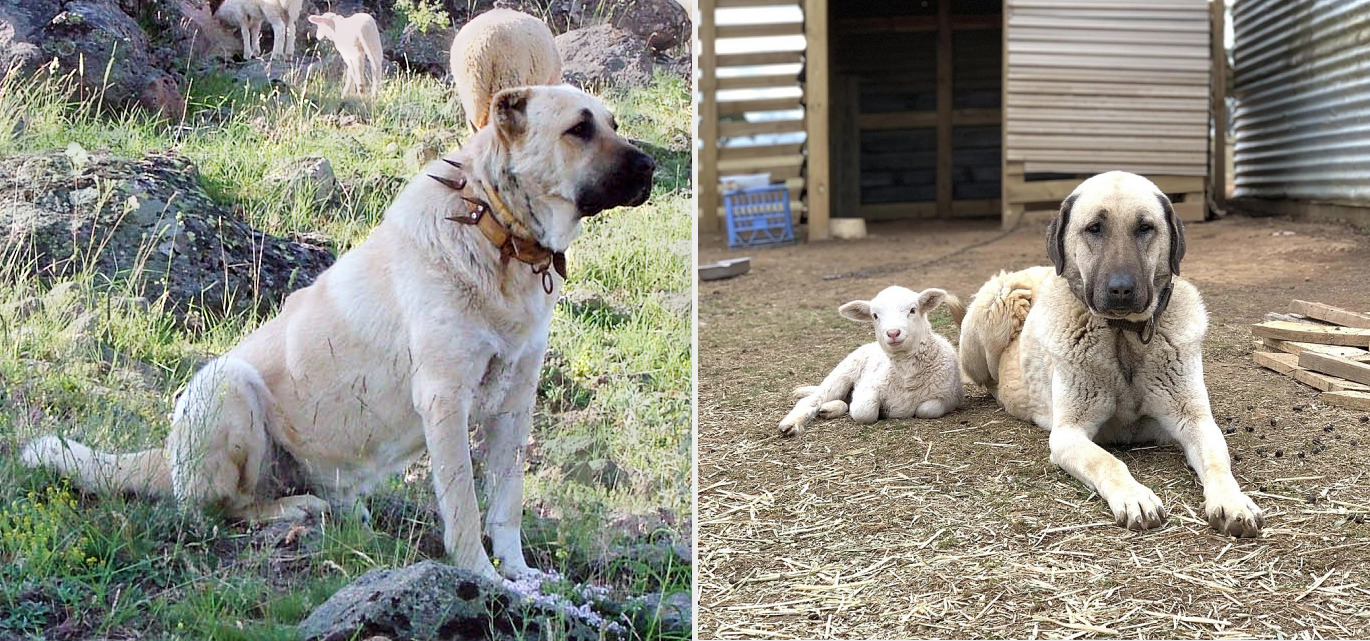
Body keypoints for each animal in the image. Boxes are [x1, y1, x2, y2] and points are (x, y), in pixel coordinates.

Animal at [21, 85, 657, 580]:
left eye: (613, 123)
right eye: (579, 128)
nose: (650, 168)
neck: (496, 231)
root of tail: (166, 457)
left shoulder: (514, 405)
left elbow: (507, 506)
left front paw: (522, 577)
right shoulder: (445, 399)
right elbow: (466, 507)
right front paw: (480, 576)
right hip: (227, 383)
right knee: (224, 509)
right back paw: (297, 509)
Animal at [783, 287, 964, 438]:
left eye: (913, 310)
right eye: (875, 316)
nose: (893, 333)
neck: (907, 378)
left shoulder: (950, 397)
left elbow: (926, 410)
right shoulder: (866, 388)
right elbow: (864, 411)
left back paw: (829, 408)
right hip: (843, 372)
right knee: (813, 399)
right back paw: (791, 423)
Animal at [953, 170, 1260, 536]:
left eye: (1145, 228)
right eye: (1094, 228)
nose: (1121, 290)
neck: (1123, 334)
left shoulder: (1195, 420)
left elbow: (1217, 462)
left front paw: (1232, 500)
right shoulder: (1068, 434)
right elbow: (1107, 461)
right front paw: (1134, 496)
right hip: (997, 304)